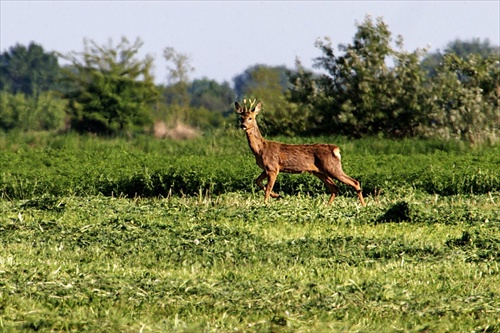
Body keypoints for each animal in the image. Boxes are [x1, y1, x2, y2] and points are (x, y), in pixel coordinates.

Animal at [234, 98, 368, 205]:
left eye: (250, 118)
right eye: (241, 118)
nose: (243, 125)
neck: (260, 149)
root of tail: (336, 149)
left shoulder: (272, 168)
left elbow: (267, 189)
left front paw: (265, 204)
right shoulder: (266, 168)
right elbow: (257, 181)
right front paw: (277, 195)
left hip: (332, 167)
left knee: (354, 182)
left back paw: (363, 206)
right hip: (319, 171)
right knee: (334, 187)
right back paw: (326, 206)